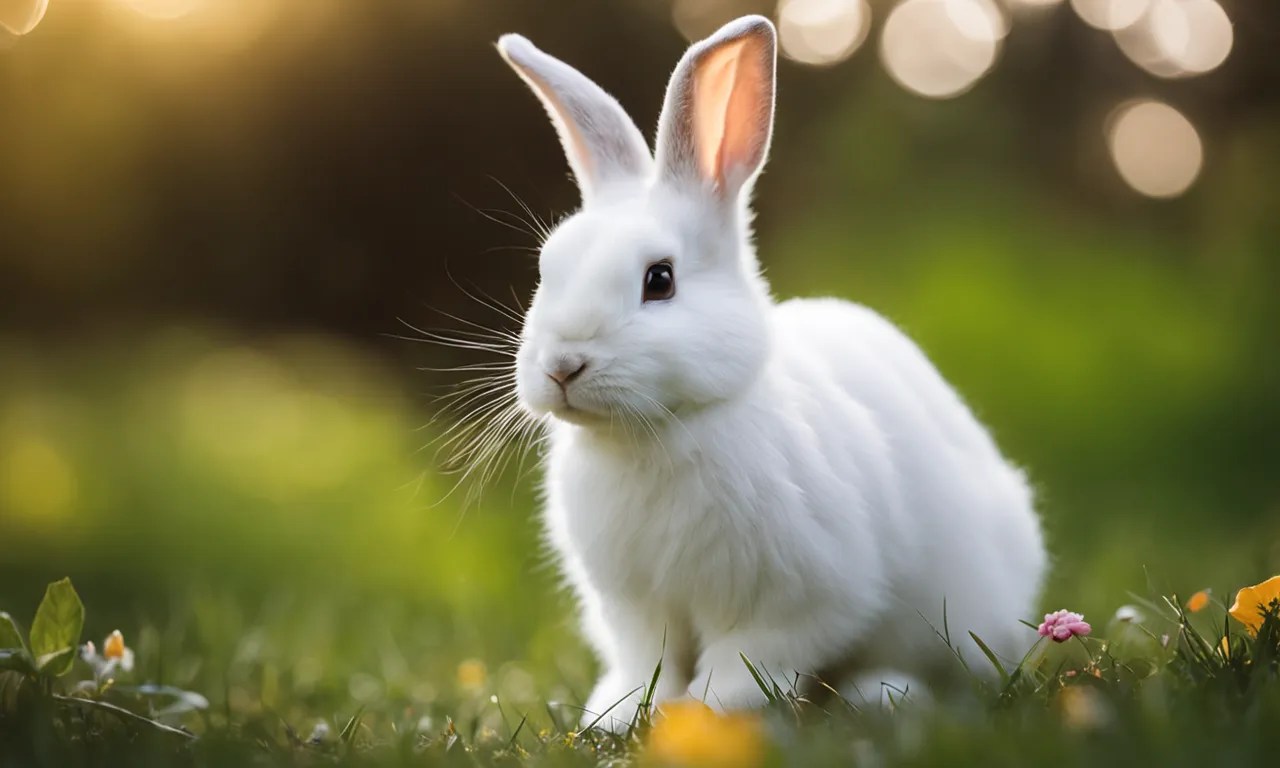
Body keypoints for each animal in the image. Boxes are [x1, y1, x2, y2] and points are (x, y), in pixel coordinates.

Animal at [494, 15, 1046, 727]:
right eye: (547, 269)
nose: (563, 365)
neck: (658, 431)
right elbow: (646, 662)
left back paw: (882, 695)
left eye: (659, 280)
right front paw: (618, 716)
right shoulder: (635, 606)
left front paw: (707, 717)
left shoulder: (800, 595)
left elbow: (746, 660)